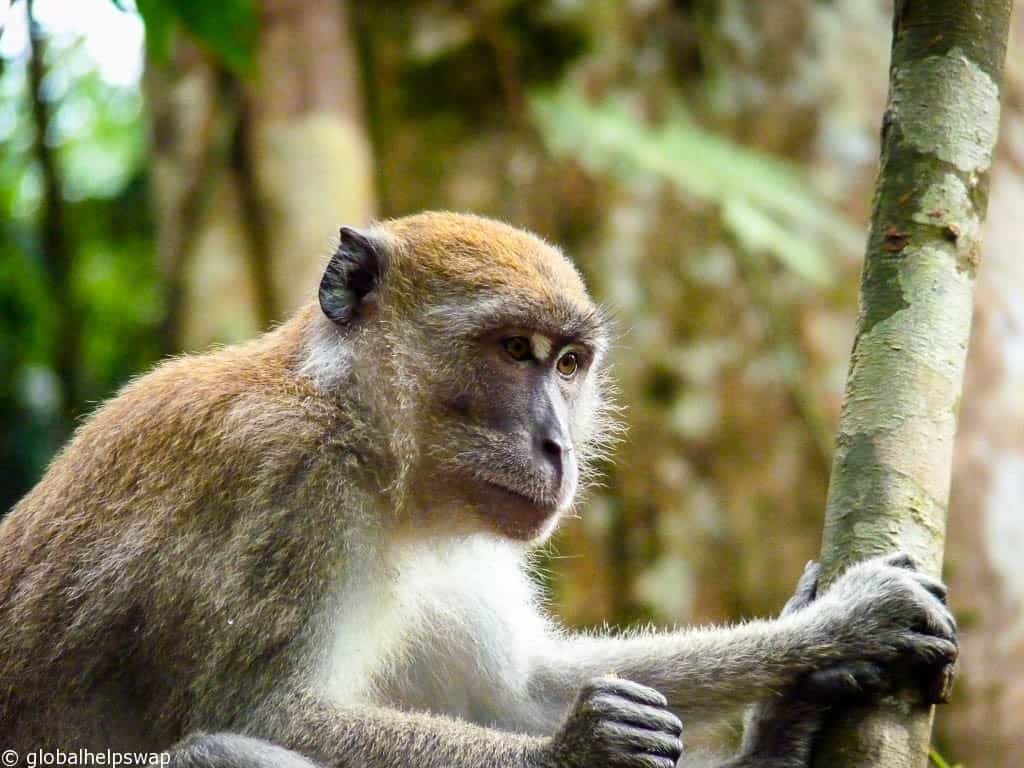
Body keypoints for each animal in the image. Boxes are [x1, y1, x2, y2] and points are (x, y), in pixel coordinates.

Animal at [2, 214, 958, 768]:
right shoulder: (283, 486)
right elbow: (253, 712)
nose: (557, 446)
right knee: (221, 750)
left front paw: (818, 642)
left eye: (568, 363)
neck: (363, 437)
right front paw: (572, 755)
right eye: (511, 351)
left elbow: (518, 689)